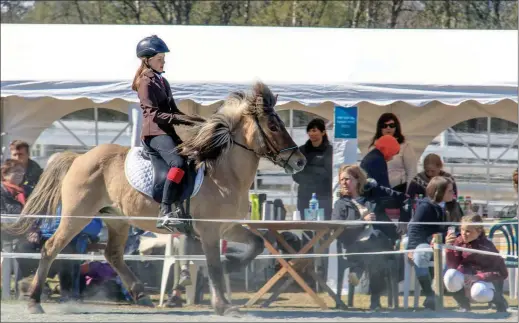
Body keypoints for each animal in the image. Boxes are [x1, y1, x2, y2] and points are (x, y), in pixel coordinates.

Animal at [2, 82, 306, 318]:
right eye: (273, 126)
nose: (300, 161)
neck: (224, 172)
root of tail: (79, 157)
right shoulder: (209, 230)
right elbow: (214, 266)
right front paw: (224, 305)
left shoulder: (227, 227)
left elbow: (256, 244)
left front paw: (233, 265)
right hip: (78, 216)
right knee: (51, 248)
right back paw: (34, 301)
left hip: (117, 219)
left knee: (112, 254)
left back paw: (140, 294)